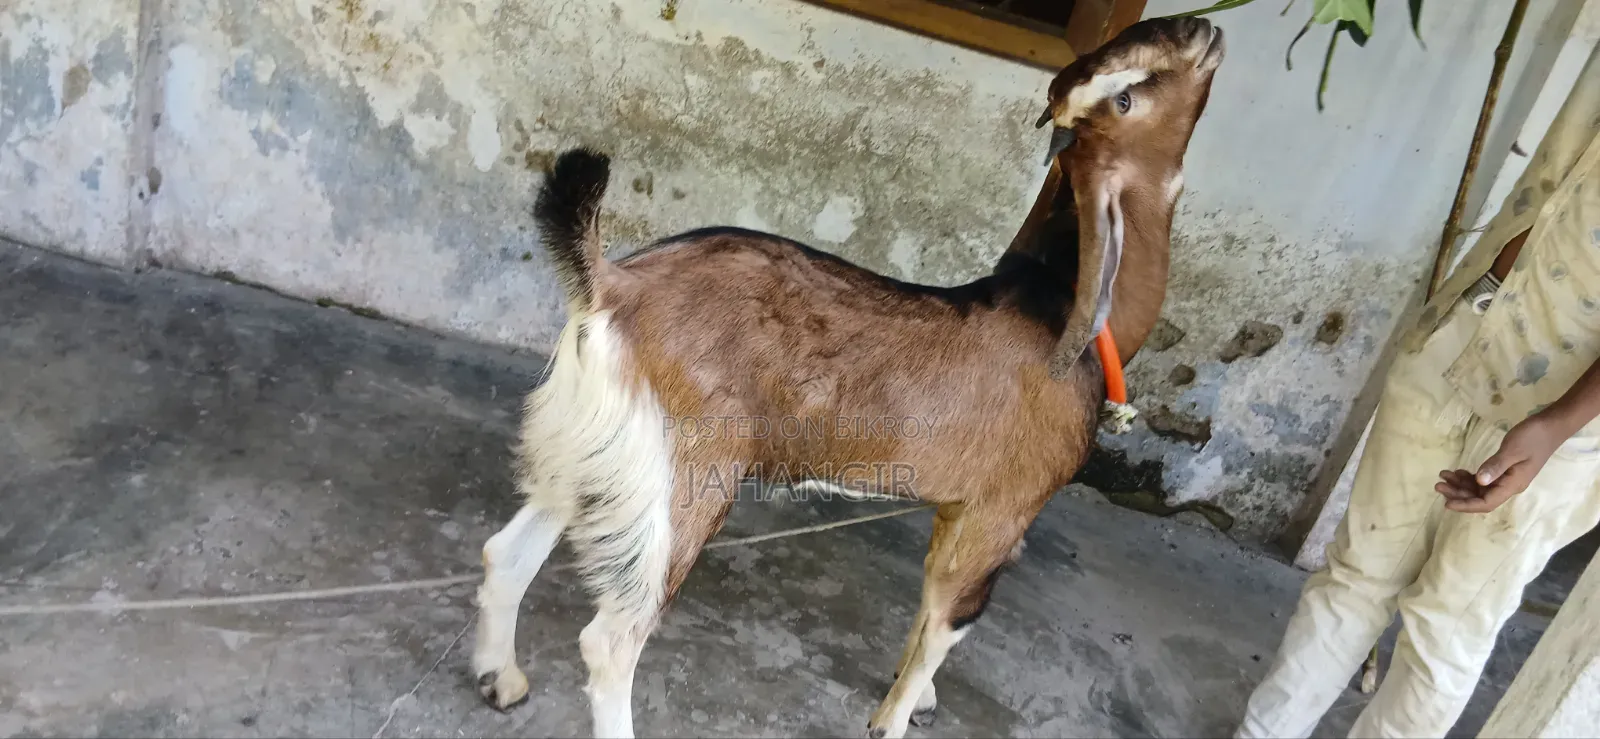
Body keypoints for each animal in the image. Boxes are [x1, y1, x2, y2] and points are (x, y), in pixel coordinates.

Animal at [470, 16, 1225, 739]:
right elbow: (948, 620)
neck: (1061, 303)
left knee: (507, 554)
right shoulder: (1003, 509)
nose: (1204, 29)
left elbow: (928, 600)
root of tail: (610, 286)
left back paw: (500, 679)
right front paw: (893, 719)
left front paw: (920, 695)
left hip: (587, 453)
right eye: (1128, 97)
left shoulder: (955, 504)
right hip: (680, 477)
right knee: (611, 638)